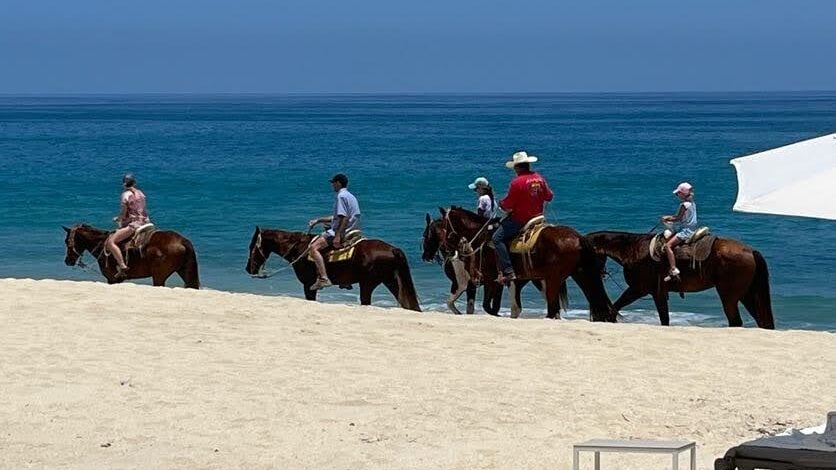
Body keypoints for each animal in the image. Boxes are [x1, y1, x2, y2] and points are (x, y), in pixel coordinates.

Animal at [62, 223, 201, 286]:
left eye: (66, 241)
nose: (67, 261)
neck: (102, 244)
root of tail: (182, 240)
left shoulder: (112, 279)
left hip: (159, 276)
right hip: (184, 271)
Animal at [245, 228, 422, 312]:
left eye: (252, 247)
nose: (248, 269)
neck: (299, 248)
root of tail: (393, 249)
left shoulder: (308, 285)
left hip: (368, 284)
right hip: (391, 281)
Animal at [440, 207, 612, 322]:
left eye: (444, 227)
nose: (446, 250)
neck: (482, 237)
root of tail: (578, 237)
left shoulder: (491, 279)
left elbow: (489, 307)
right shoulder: (516, 281)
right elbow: (511, 307)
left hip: (554, 279)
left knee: (553, 309)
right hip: (580, 274)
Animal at [584, 230, 772, 326]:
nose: (599, 274)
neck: (633, 250)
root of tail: (750, 251)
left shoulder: (639, 289)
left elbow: (614, 308)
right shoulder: (656, 293)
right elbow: (664, 319)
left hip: (729, 297)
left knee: (736, 321)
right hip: (746, 295)